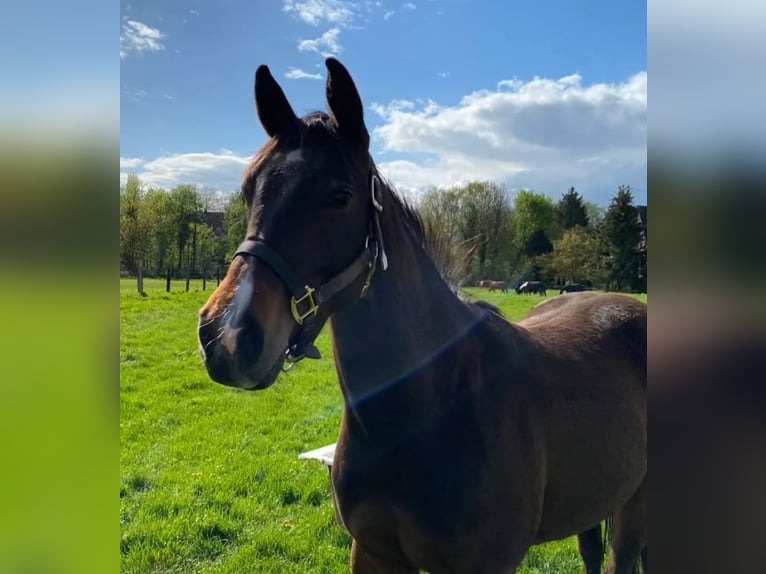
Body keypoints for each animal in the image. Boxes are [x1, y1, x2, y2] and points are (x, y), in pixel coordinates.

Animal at [196, 58, 648, 574]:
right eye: (248, 189)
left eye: (341, 196)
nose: (226, 336)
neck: (427, 407)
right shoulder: (372, 552)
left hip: (636, 502)